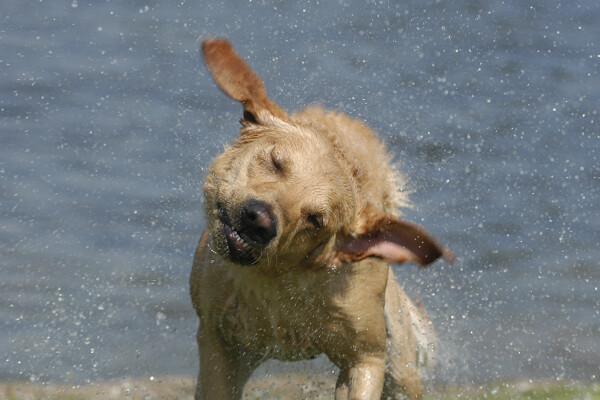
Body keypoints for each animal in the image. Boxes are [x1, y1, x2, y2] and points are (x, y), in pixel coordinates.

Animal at [190, 38, 452, 400]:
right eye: (276, 162)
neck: (275, 281)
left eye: (315, 219)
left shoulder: (366, 356)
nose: (260, 221)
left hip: (400, 363)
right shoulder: (218, 339)